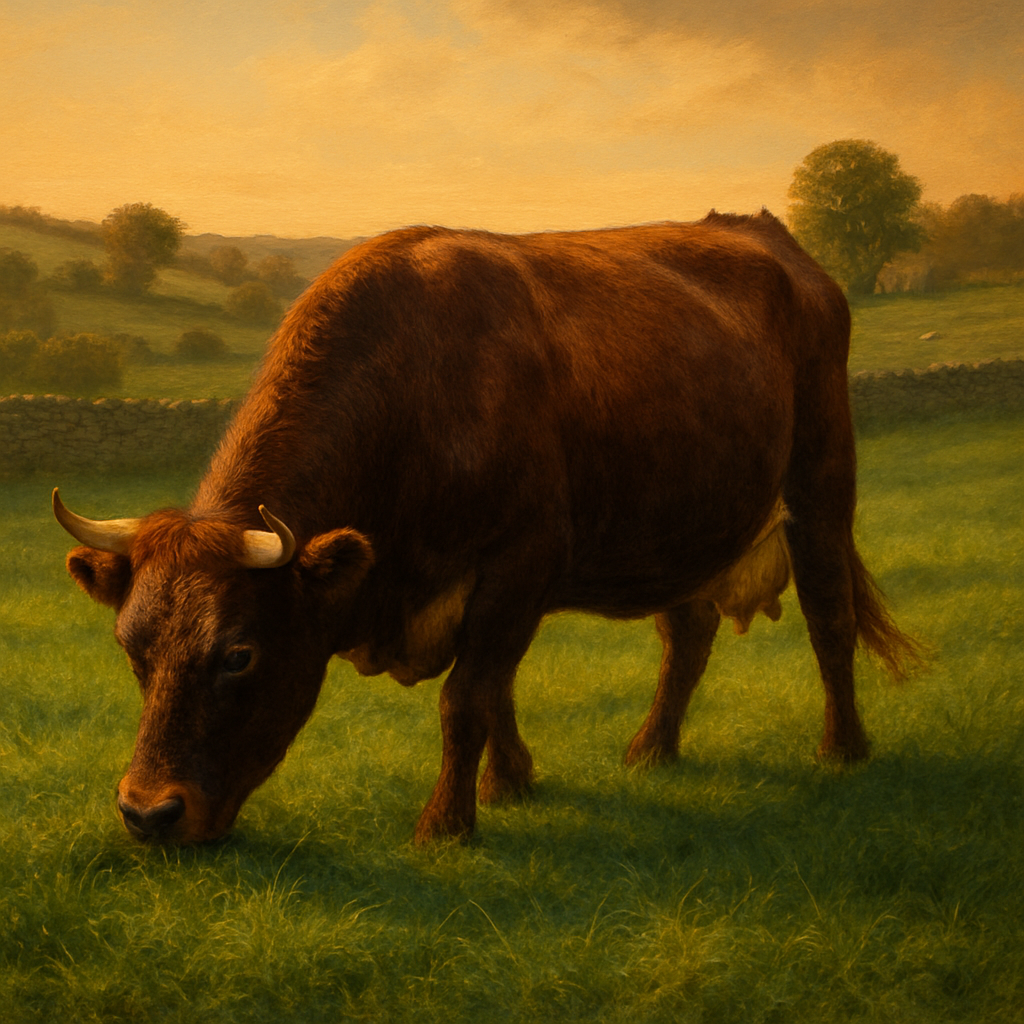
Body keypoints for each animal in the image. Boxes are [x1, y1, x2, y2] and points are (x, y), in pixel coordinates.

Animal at [53, 211, 920, 845]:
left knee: (830, 615)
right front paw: (512, 784)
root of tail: (770, 235)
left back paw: (843, 748)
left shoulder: (519, 560)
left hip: (820, 481)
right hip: (678, 521)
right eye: (132, 649)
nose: (147, 813)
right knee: (689, 634)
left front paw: (447, 824)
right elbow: (496, 689)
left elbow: (468, 696)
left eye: (238, 654)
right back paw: (652, 750)